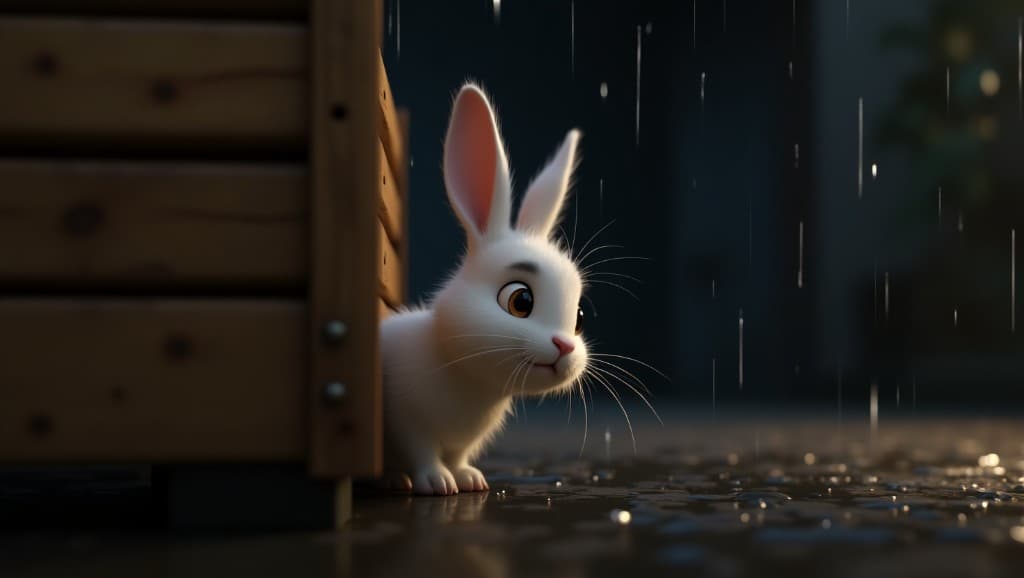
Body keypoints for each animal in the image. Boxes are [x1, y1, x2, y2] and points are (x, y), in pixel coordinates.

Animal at [380, 83, 588, 495]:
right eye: (520, 301)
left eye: (579, 317)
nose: (565, 346)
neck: (466, 374)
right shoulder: (405, 419)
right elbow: (422, 452)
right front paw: (438, 483)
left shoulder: (463, 442)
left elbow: (458, 457)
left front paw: (469, 479)